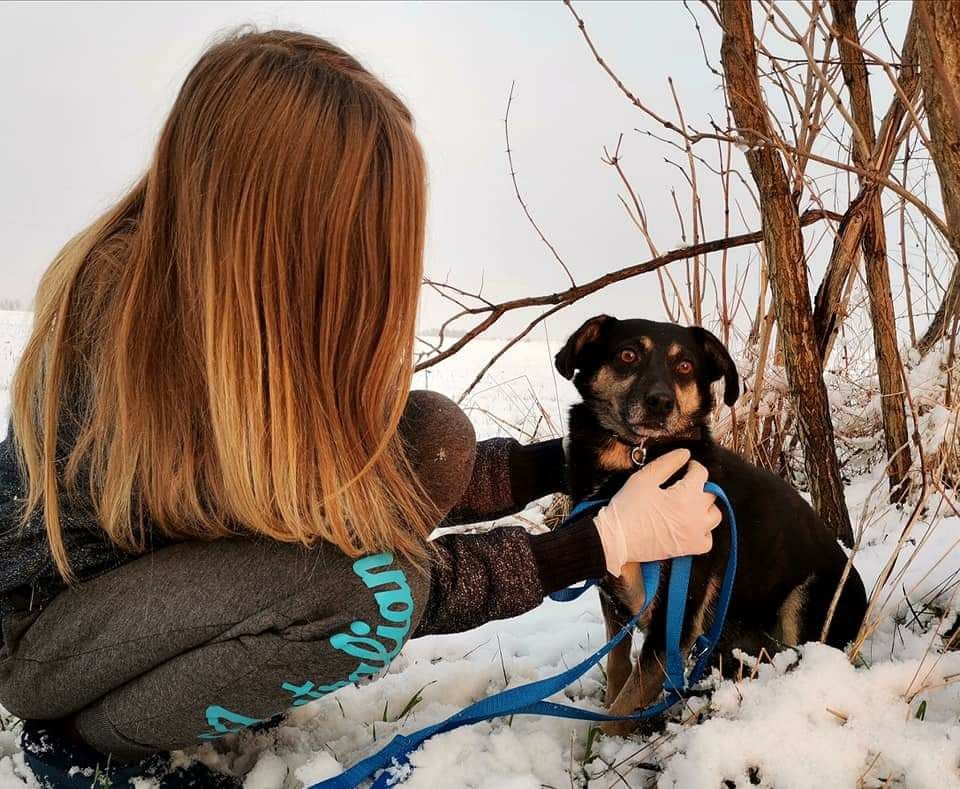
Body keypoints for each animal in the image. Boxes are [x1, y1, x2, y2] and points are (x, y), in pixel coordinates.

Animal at [552, 318, 868, 736]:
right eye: (628, 354)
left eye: (685, 366)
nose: (660, 402)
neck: (636, 462)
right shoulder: (616, 604)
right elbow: (618, 669)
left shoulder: (674, 623)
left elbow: (626, 703)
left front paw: (603, 748)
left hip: (807, 598)